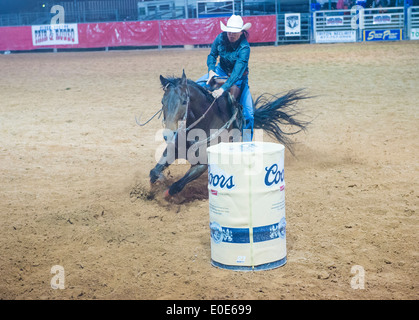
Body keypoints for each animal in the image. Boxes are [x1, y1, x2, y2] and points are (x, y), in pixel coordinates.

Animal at [146, 70, 310, 198]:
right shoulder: (172, 149)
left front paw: (165, 193)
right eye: (162, 102)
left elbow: (177, 186)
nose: (168, 135)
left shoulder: (202, 164)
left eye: (184, 101)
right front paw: (152, 190)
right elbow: (154, 172)